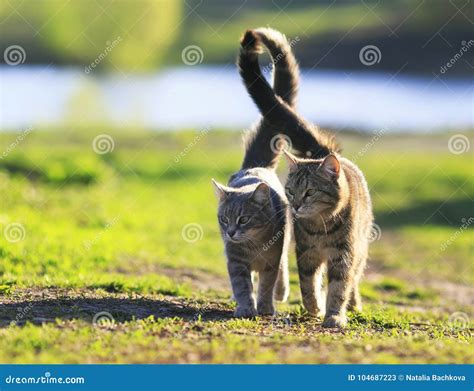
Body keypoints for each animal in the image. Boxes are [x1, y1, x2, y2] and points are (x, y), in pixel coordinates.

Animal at [212, 27, 298, 316]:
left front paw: (265, 307)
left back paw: (281, 293)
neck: (253, 246)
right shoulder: (236, 262)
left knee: (282, 272)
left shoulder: (271, 261)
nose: (230, 233)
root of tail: (255, 166)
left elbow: (267, 284)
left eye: (243, 219)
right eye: (224, 219)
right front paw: (246, 308)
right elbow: (242, 285)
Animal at [241, 28, 374, 328]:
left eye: (310, 192)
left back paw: (355, 304)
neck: (320, 227)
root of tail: (325, 153)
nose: (298, 205)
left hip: (361, 247)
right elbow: (308, 284)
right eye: (291, 191)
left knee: (355, 279)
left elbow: (339, 286)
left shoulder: (344, 255)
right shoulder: (305, 253)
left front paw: (334, 315)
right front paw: (314, 308)